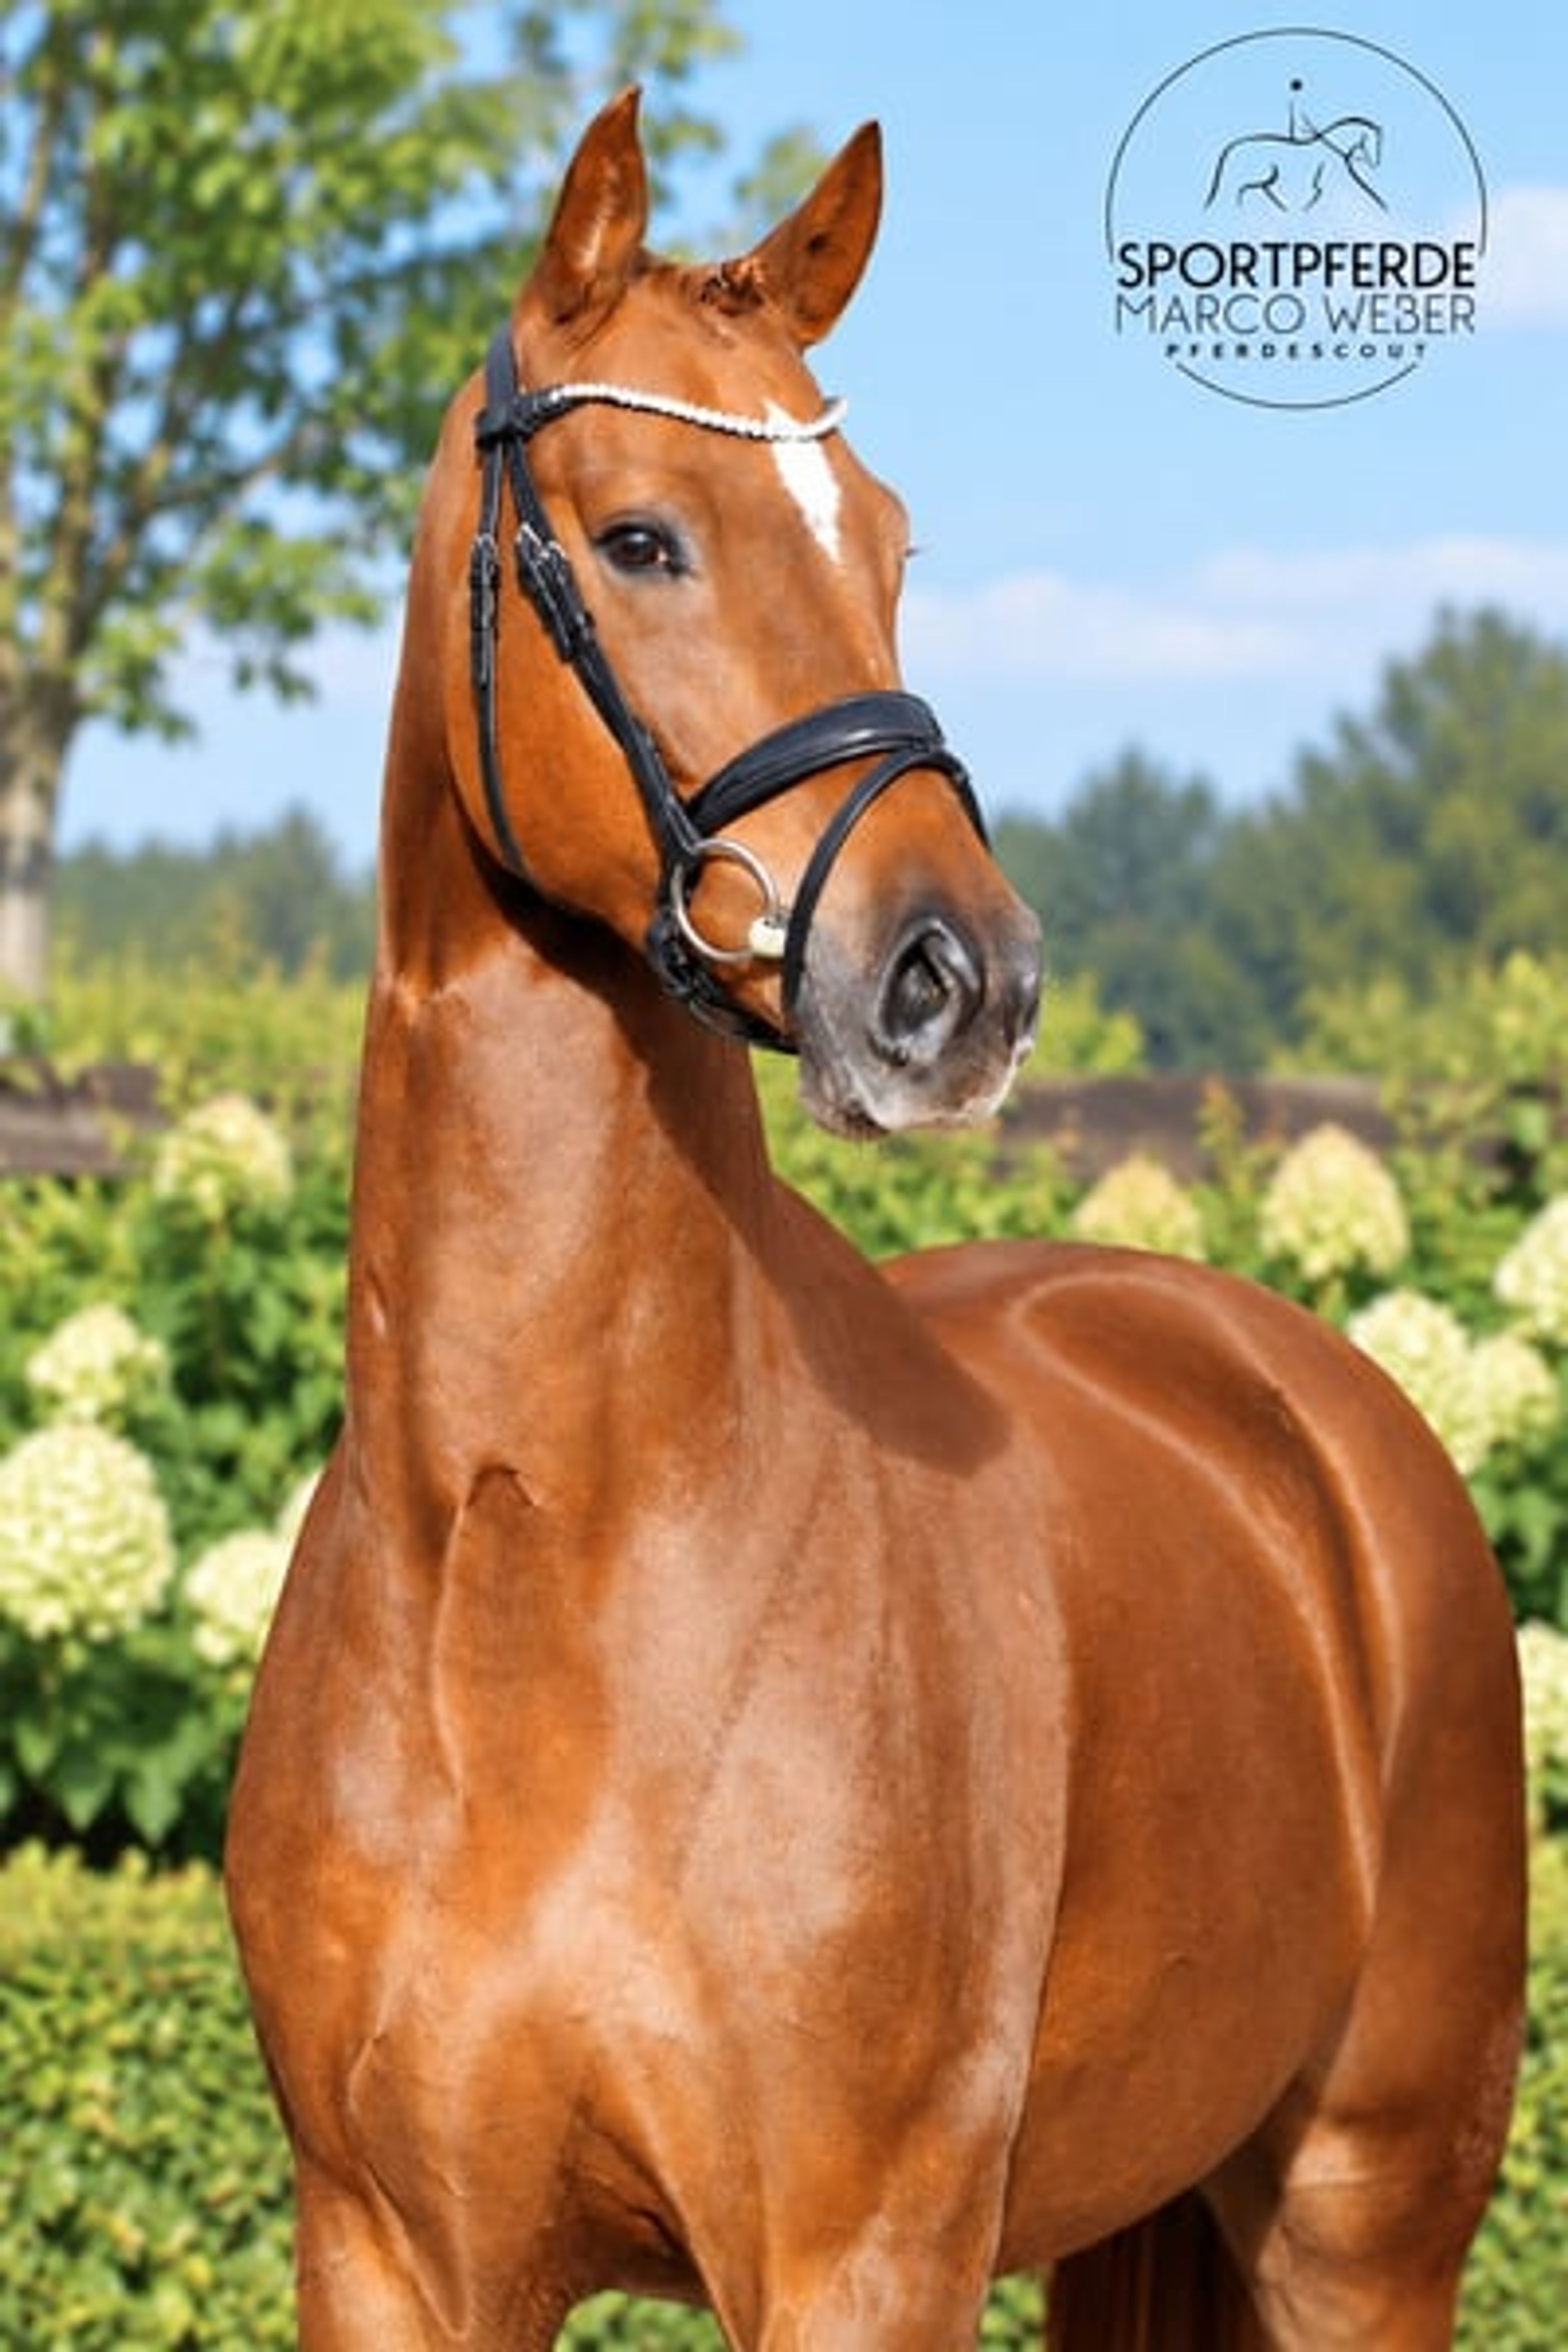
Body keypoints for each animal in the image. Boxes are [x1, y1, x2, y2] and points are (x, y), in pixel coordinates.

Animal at [226, 90, 1525, 2351]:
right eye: (641, 538)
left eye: (892, 544)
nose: (954, 981)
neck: (530, 1565)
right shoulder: (393, 2256)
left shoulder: (861, 2257)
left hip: (1368, 2218)